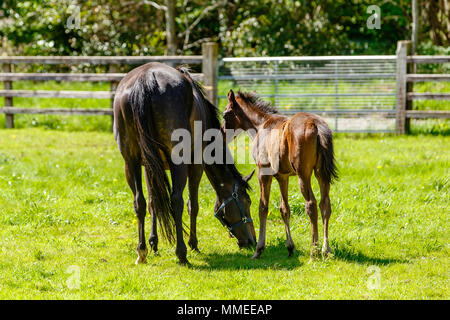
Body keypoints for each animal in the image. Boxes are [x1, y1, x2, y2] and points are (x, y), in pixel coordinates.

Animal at [112, 63, 255, 264]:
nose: (251, 241)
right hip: (178, 163)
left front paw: (154, 243)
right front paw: (193, 243)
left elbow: (153, 202)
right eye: (247, 201)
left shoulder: (149, 166)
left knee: (139, 202)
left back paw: (142, 251)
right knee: (176, 201)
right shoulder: (195, 165)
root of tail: (145, 79)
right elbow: (192, 205)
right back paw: (181, 253)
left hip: (130, 161)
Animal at [221, 90, 338, 260]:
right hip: (321, 173)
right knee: (325, 204)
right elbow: (284, 209)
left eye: (225, 114)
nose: (221, 133)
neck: (260, 125)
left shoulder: (263, 173)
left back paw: (314, 251)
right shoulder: (283, 177)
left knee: (311, 204)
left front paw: (259, 249)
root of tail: (317, 124)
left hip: (303, 175)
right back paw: (325, 250)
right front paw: (290, 247)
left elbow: (263, 208)